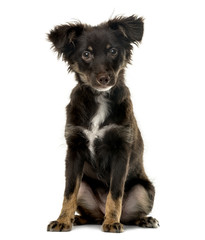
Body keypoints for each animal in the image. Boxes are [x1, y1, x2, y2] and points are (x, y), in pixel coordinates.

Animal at [46, 15, 159, 232]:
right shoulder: (74, 149)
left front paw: (112, 222)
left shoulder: (121, 150)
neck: (99, 98)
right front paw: (63, 220)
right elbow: (68, 192)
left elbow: (115, 193)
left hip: (143, 189)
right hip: (84, 186)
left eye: (113, 51)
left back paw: (142, 220)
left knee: (130, 215)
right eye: (86, 54)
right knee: (90, 214)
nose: (104, 78)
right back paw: (78, 219)